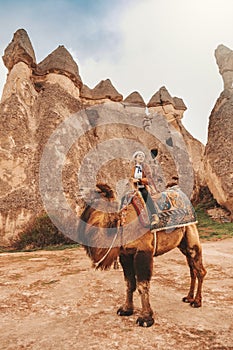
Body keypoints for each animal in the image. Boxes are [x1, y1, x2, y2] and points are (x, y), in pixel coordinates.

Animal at [77, 183, 207, 328]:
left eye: (96, 194)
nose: (80, 191)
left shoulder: (143, 252)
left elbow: (142, 285)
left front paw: (145, 318)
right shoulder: (125, 255)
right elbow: (129, 283)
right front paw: (126, 310)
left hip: (191, 236)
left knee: (199, 269)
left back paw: (197, 301)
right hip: (182, 244)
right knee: (192, 269)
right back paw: (188, 297)